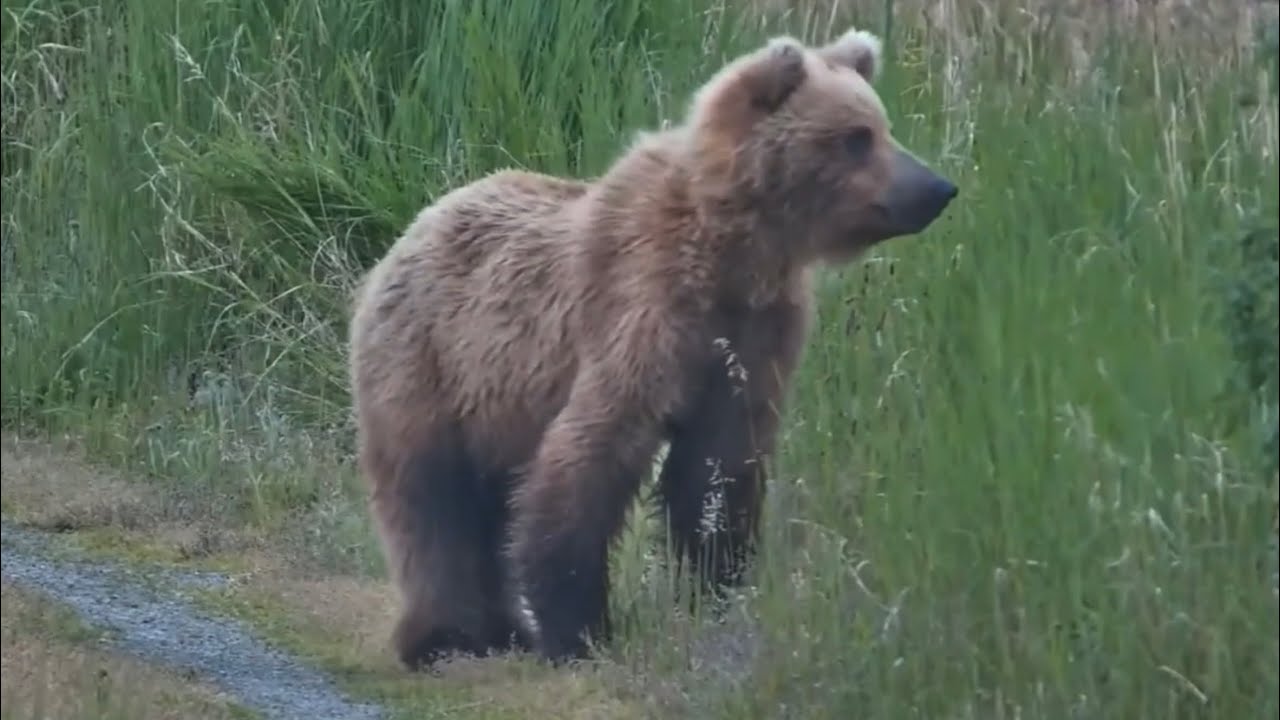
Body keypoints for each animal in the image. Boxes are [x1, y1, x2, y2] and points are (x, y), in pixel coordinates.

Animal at [347, 26, 957, 669]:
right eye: (855, 137)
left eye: (881, 125)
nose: (937, 188)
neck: (733, 251)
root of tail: (414, 226)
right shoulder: (642, 312)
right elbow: (590, 455)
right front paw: (579, 629)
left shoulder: (753, 338)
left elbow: (718, 470)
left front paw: (717, 588)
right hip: (431, 363)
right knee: (431, 499)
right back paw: (447, 635)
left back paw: (497, 629)